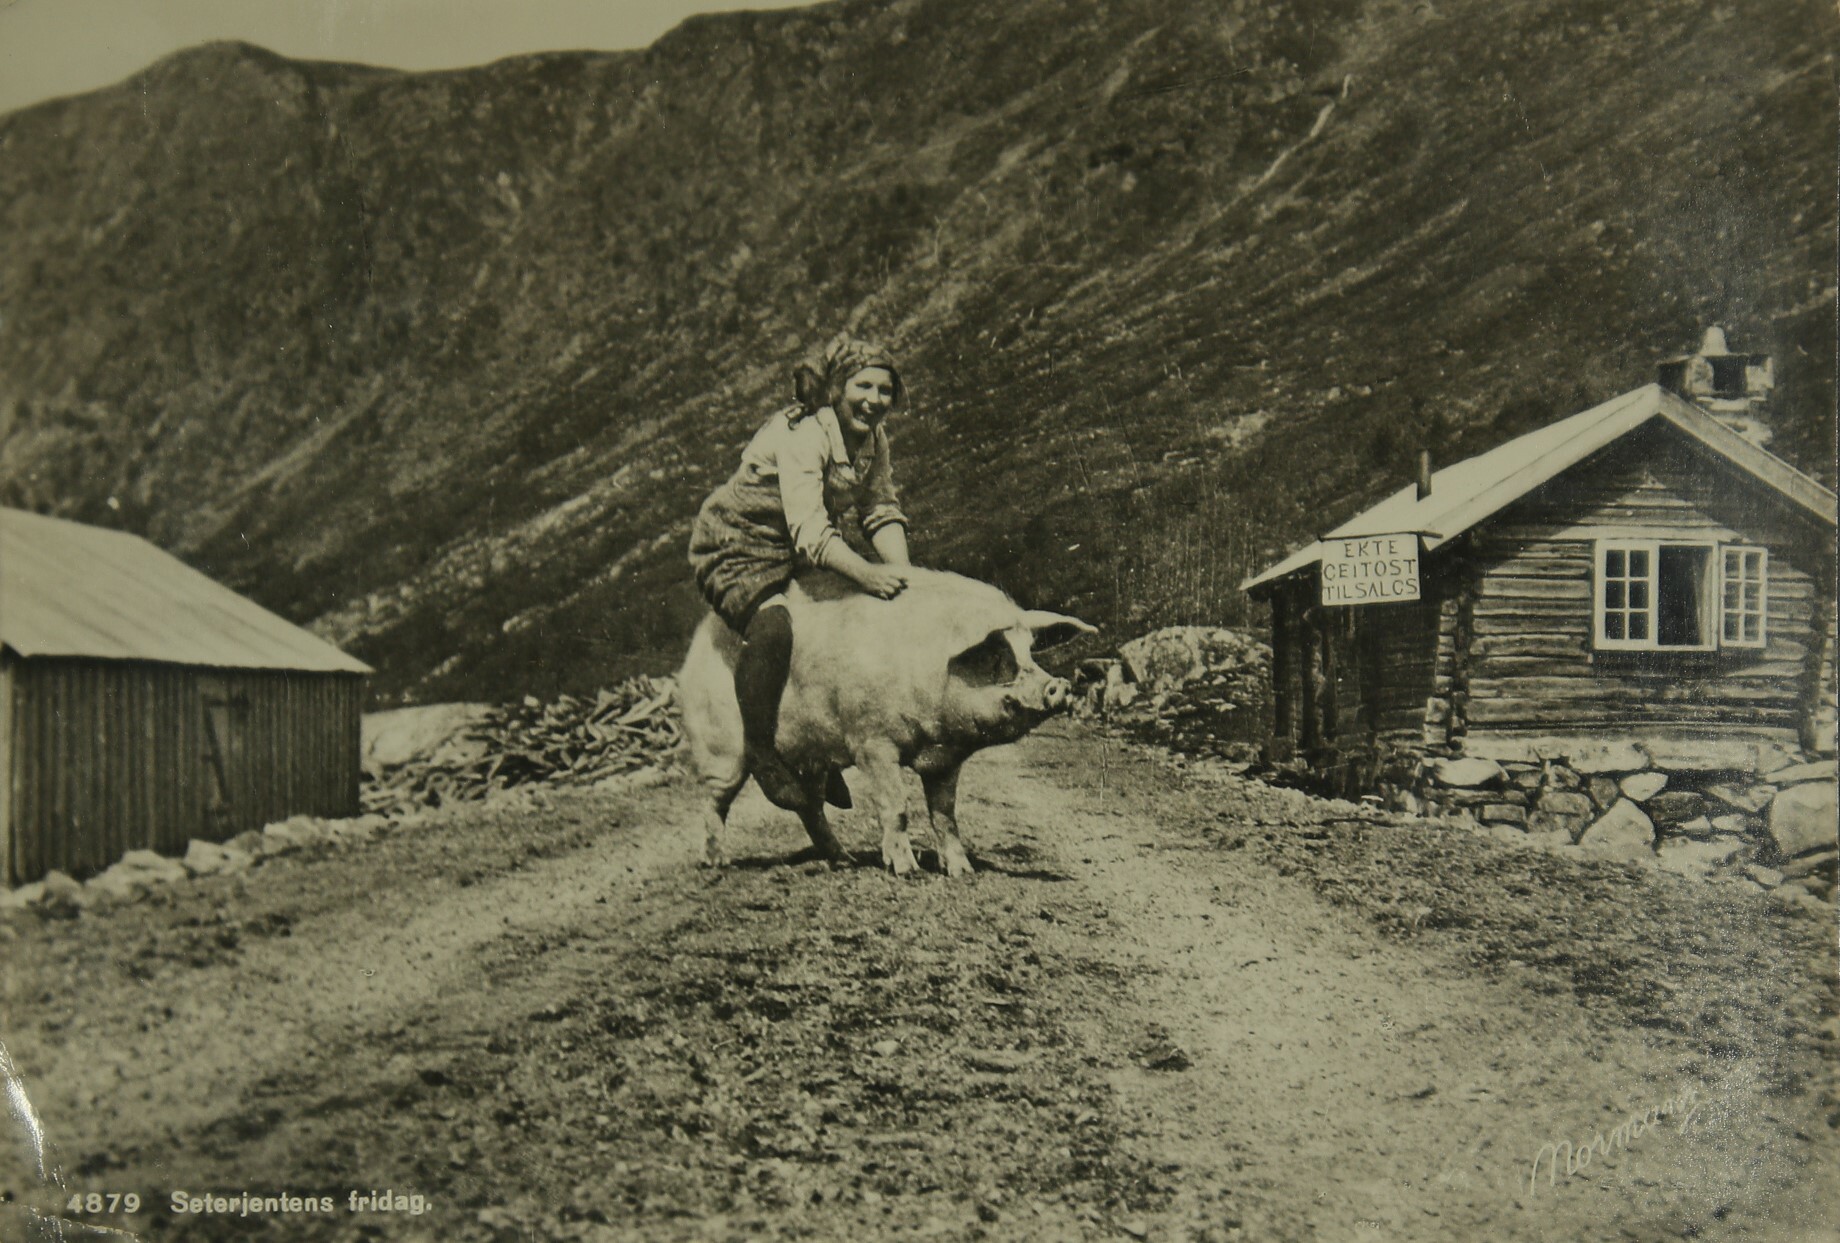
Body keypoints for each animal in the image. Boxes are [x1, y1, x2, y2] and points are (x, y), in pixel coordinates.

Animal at [684, 566, 1096, 878]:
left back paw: (844, 860)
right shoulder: (871, 743)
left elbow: (945, 815)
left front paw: (962, 872)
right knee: (713, 801)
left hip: (810, 759)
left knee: (809, 807)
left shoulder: (945, 762)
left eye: (1031, 650)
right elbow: (896, 806)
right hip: (722, 747)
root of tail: (694, 648)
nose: (1058, 686)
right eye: (995, 657)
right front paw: (906, 870)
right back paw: (716, 864)